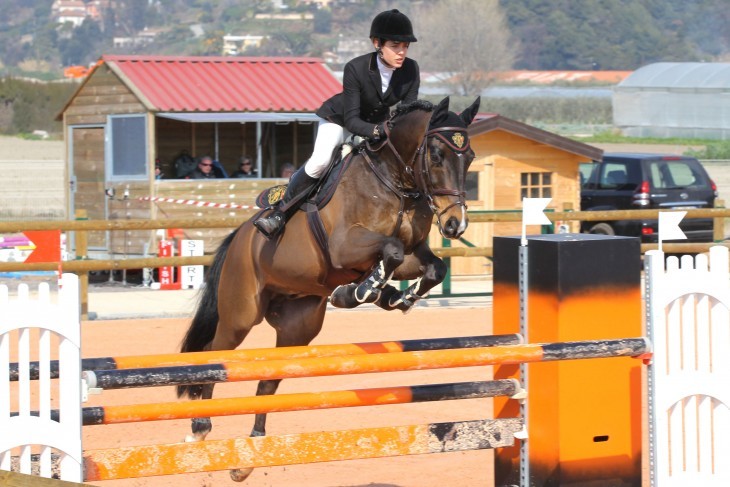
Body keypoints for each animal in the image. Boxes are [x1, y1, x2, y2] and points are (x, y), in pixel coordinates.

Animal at [178, 96, 478, 484]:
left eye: (469, 157)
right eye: (438, 155)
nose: (456, 225)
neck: (395, 181)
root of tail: (240, 236)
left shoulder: (412, 253)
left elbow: (430, 266)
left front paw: (391, 296)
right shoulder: (345, 247)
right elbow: (391, 250)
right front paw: (361, 293)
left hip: (297, 327)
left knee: (268, 385)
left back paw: (249, 456)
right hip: (240, 315)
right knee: (213, 355)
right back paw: (199, 426)